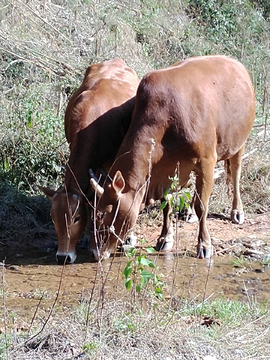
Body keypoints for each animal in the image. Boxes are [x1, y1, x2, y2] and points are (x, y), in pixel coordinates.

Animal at [90, 54, 255, 260]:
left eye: (103, 214)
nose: (94, 251)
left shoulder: (206, 162)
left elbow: (203, 206)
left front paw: (204, 244)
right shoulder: (166, 170)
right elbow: (167, 205)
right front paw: (165, 238)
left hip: (239, 144)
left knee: (236, 175)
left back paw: (237, 211)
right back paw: (190, 212)